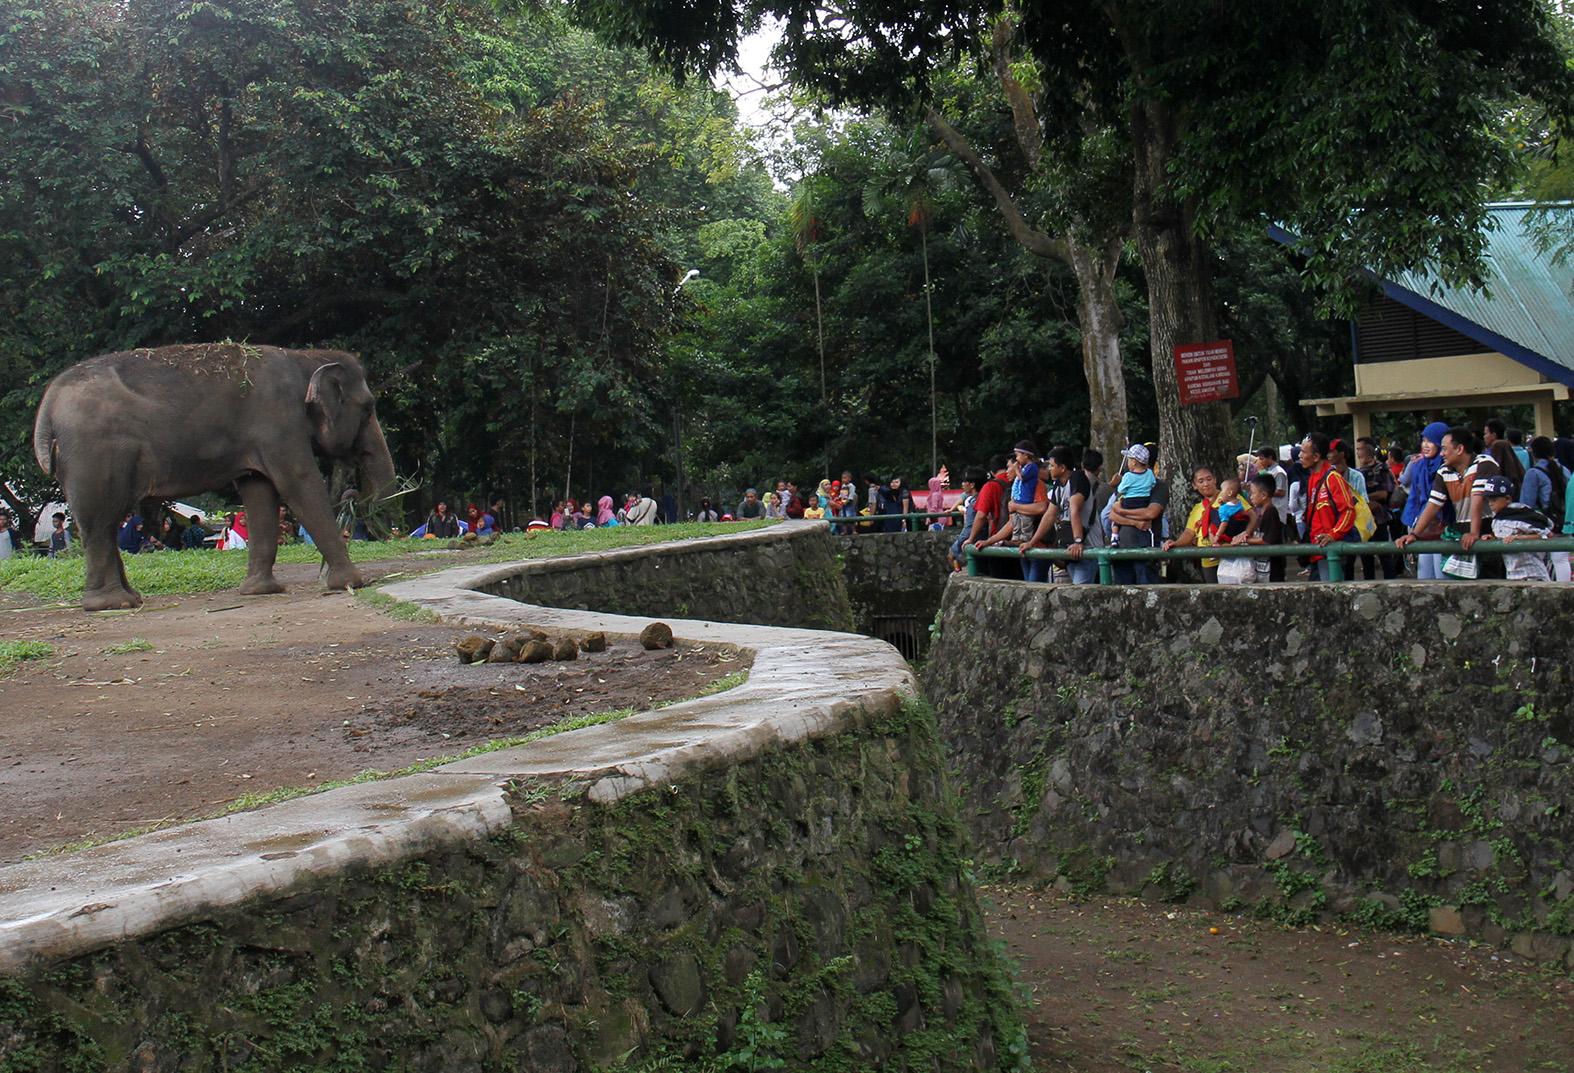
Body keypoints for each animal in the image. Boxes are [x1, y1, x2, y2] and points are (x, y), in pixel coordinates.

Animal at [34, 344, 396, 610]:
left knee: (104, 524)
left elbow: (259, 492)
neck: (304, 357)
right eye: (368, 407)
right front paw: (353, 583)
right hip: (94, 453)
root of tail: (47, 404)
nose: (358, 499)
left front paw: (258, 591)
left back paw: (129, 599)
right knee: (100, 521)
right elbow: (298, 482)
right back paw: (112, 604)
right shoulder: (279, 422)